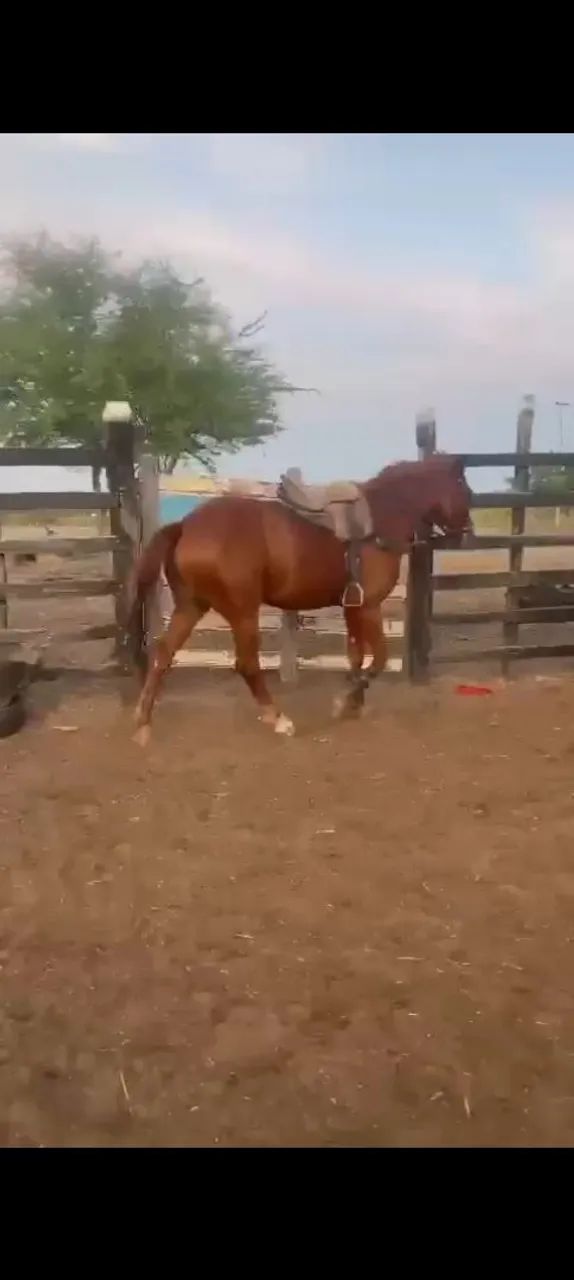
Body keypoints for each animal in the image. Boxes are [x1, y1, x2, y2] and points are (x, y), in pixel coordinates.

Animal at [129, 455, 472, 744]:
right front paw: (346, 701)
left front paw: (353, 704)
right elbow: (378, 660)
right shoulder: (369, 607)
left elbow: (357, 657)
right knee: (247, 664)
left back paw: (143, 723)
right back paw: (279, 719)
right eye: (463, 487)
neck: (381, 518)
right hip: (242, 612)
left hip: (191, 606)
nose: (467, 532)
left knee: (163, 655)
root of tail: (185, 525)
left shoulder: (352, 608)